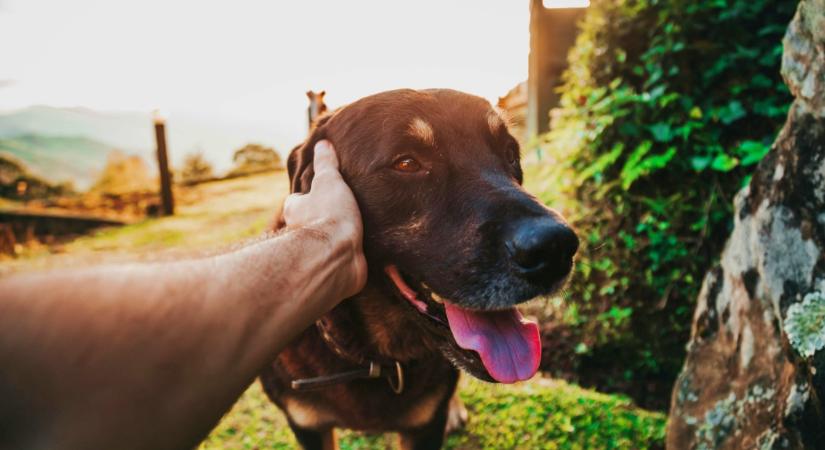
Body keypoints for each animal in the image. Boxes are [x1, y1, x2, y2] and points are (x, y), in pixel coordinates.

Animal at [260, 89, 576, 450]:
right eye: (407, 163)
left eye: (510, 154)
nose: (556, 249)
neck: (375, 361)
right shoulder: (307, 425)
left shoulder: (425, 425)